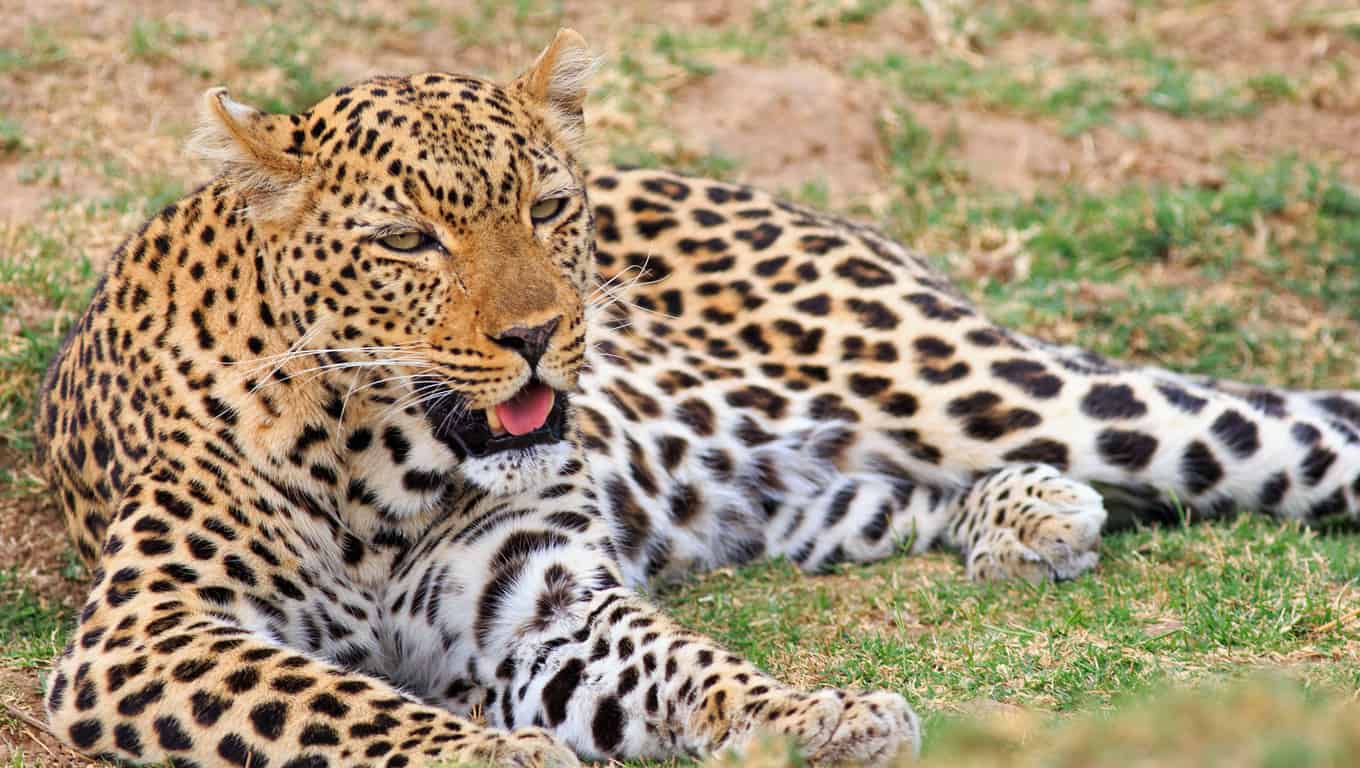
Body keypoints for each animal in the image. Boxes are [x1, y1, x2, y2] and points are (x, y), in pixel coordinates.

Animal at [31, 27, 1360, 761]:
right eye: (408, 241)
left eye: (549, 209)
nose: (538, 336)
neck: (384, 470)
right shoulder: (143, 635)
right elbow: (334, 703)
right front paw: (498, 759)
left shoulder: (539, 605)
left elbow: (688, 665)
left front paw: (815, 716)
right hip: (794, 476)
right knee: (892, 489)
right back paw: (1031, 520)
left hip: (954, 375)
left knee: (1261, 427)